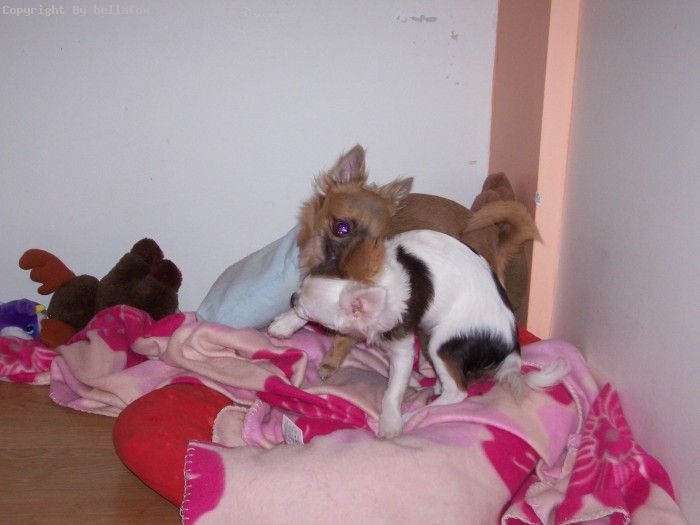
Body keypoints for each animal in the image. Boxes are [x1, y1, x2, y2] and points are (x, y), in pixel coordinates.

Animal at [269, 229, 566, 438]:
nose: (292, 297)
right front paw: (283, 325)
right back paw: (432, 382)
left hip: (442, 342)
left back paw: (416, 413)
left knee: (457, 391)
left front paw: (390, 421)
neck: (373, 279)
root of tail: (511, 345)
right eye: (298, 293)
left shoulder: (402, 345)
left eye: (308, 310)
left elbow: (393, 390)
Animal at [294, 145, 541, 380]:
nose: (361, 267)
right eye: (342, 228)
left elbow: (345, 334)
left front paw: (330, 361)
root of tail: (496, 240)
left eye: (379, 240)